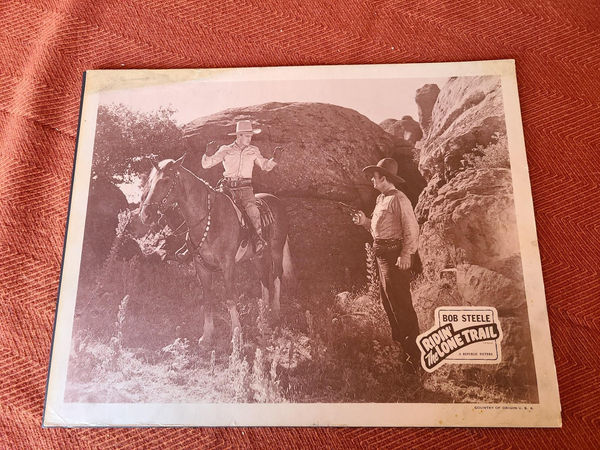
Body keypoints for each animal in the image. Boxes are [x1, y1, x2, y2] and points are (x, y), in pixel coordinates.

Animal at [139, 155, 292, 344]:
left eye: (166, 180)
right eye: (151, 181)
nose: (145, 214)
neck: (209, 220)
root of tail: (277, 201)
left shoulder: (227, 265)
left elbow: (230, 298)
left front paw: (236, 334)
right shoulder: (201, 267)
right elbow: (207, 300)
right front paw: (207, 335)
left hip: (276, 250)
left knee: (277, 276)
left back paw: (275, 312)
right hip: (257, 256)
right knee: (264, 279)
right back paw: (263, 315)